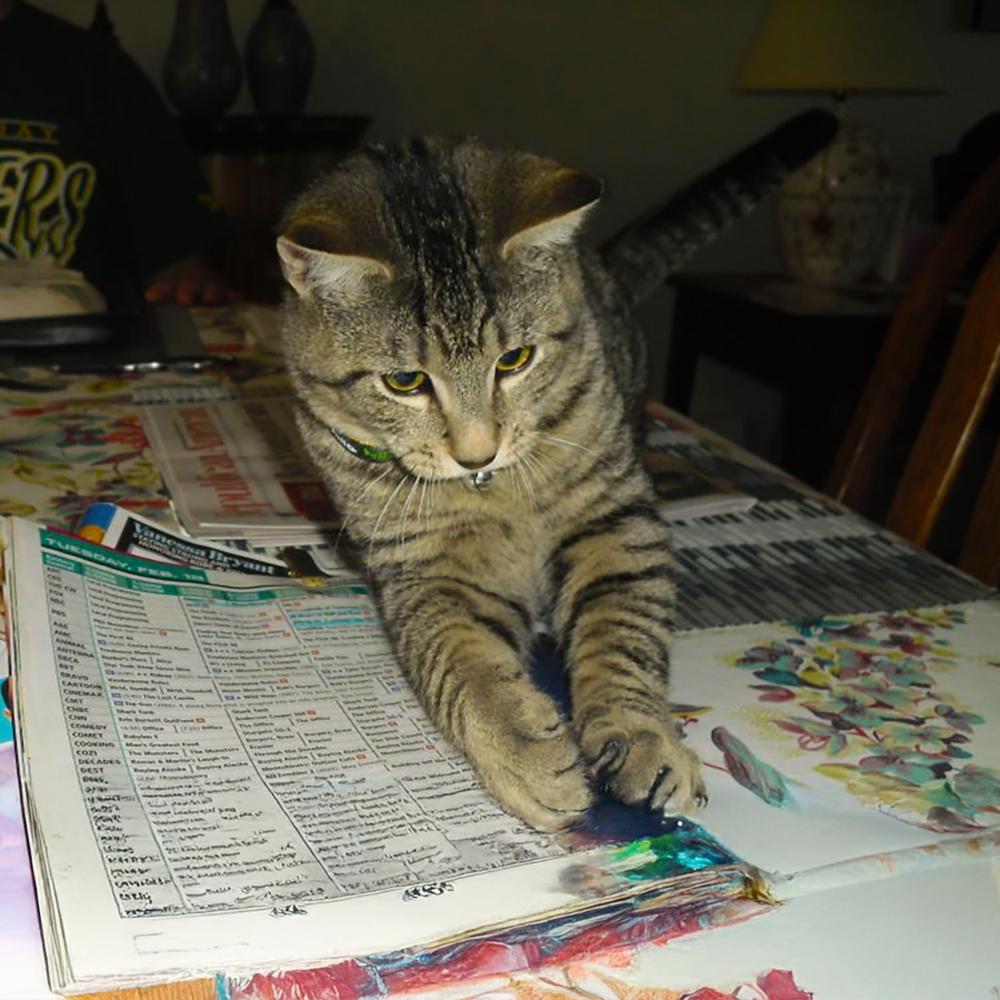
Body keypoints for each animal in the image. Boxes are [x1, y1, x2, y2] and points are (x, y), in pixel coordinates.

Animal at [276, 109, 836, 832]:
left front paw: (642, 735)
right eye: (404, 381)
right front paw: (525, 751)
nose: (477, 452)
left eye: (514, 359)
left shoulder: (615, 519)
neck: (492, 492)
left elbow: (621, 632)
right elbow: (463, 661)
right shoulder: (425, 570)